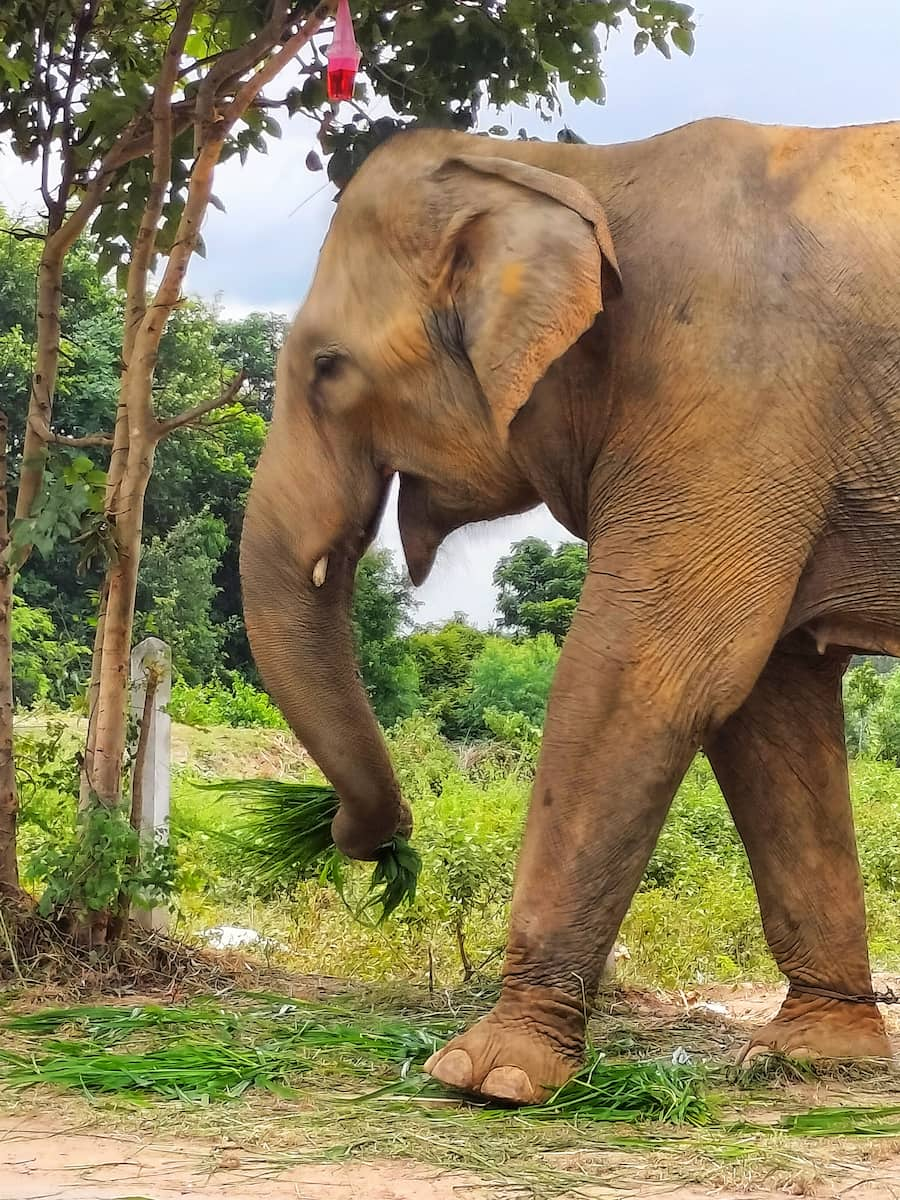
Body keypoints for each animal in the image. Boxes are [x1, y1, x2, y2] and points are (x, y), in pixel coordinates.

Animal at [241, 117, 900, 1099]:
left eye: (328, 367)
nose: (365, 837)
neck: (577, 169)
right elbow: (769, 706)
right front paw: (810, 1056)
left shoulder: (733, 396)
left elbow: (651, 677)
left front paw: (484, 1075)